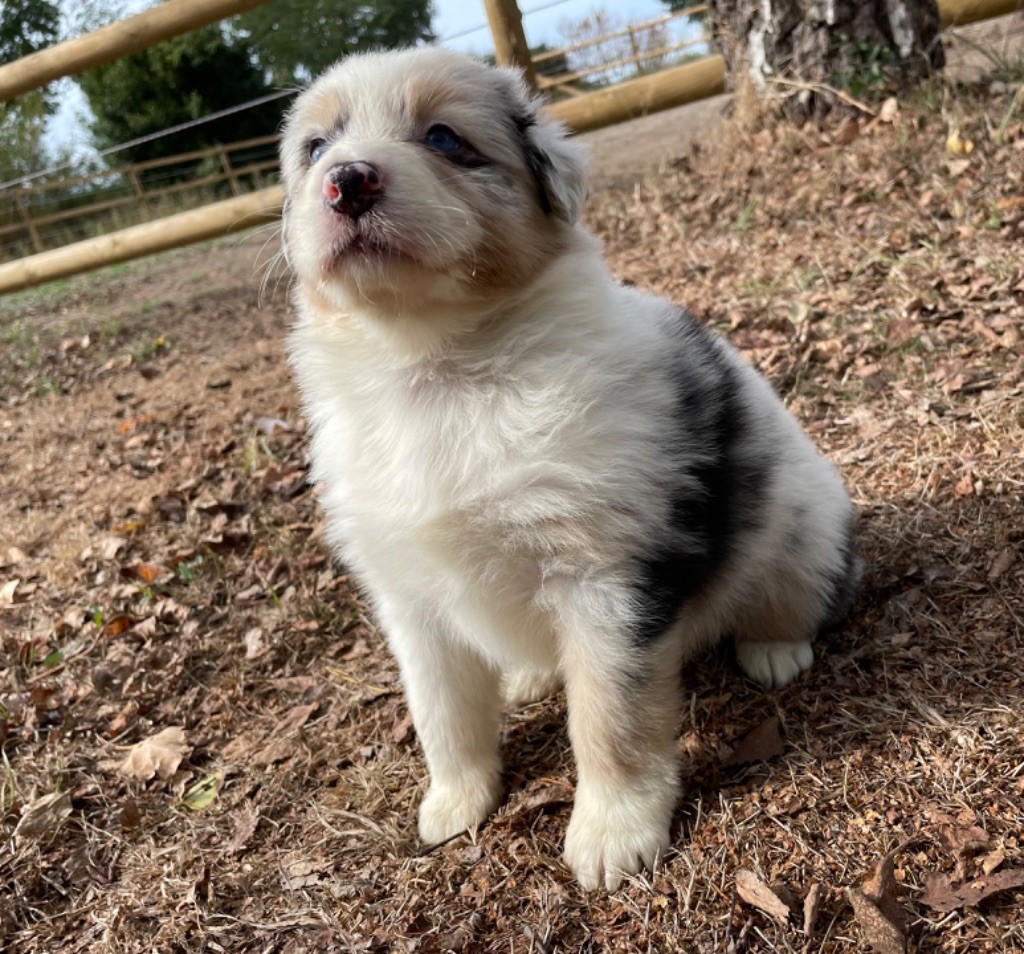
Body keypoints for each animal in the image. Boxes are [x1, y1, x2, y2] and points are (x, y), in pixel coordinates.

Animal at [279, 47, 859, 890]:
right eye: (316, 148)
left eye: (446, 139)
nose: (346, 180)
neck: (436, 365)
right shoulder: (409, 599)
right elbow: (440, 711)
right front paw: (456, 802)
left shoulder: (604, 580)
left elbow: (610, 718)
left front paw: (614, 834)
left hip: (806, 524)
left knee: (795, 593)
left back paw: (774, 648)